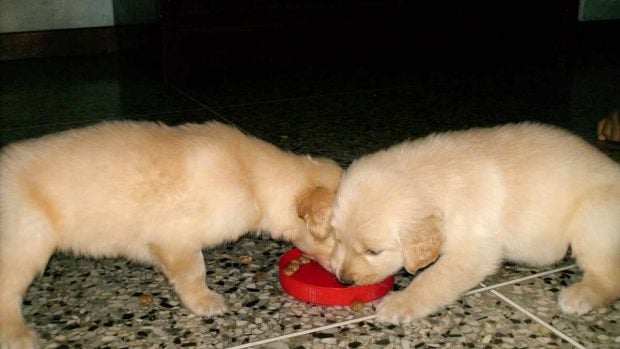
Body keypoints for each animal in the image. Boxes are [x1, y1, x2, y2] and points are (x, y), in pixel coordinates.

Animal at [0, 120, 342, 348]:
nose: (347, 283)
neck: (253, 181)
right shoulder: (177, 239)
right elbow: (194, 272)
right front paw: (205, 301)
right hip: (28, 241)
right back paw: (18, 335)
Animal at [332, 123, 620, 324]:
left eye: (373, 251)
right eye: (338, 240)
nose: (343, 280)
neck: (429, 180)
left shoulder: (476, 248)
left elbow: (435, 278)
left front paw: (401, 302)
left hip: (593, 217)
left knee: (609, 276)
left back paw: (580, 295)